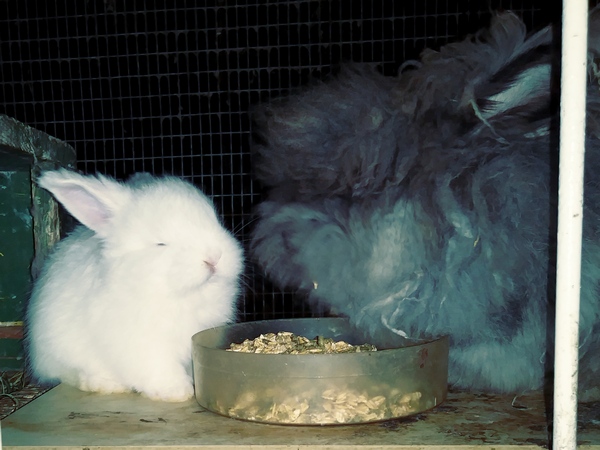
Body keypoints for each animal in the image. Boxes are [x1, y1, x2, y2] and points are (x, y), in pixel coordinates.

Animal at [25, 169, 241, 400]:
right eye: (161, 244)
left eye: (216, 221)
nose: (214, 257)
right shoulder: (143, 344)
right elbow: (159, 368)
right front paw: (178, 391)